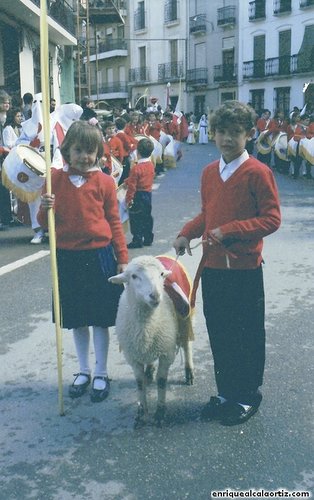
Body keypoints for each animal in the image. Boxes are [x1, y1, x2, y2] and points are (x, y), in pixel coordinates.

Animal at [109, 258, 195, 426]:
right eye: (134, 276)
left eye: (161, 274)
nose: (155, 296)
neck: (146, 326)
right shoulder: (132, 356)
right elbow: (139, 383)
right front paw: (141, 414)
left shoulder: (166, 353)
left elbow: (161, 381)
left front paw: (160, 412)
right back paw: (149, 371)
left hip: (185, 318)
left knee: (186, 345)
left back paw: (189, 372)